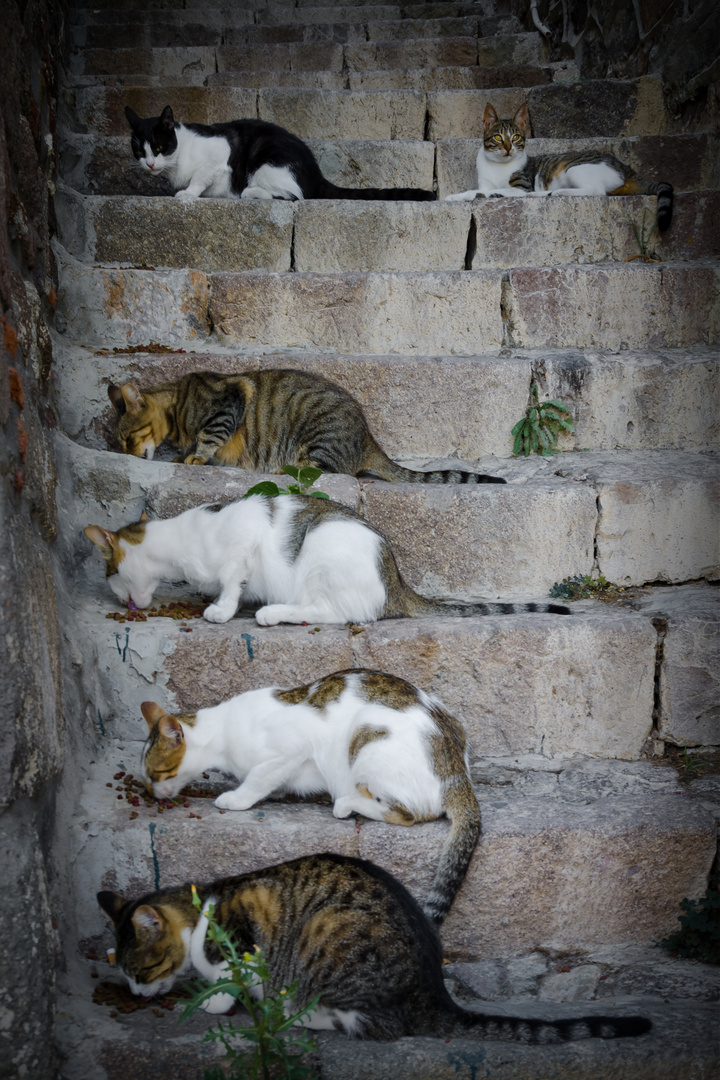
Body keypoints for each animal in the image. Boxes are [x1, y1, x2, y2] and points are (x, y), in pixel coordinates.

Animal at [83, 492, 569, 622]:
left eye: (110, 573)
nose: (119, 600)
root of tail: (397, 581)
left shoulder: (244, 541)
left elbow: (233, 580)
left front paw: (221, 609)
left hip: (321, 552)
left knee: (333, 613)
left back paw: (272, 613)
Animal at [99, 846, 651, 1041]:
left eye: (142, 971)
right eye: (124, 973)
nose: (136, 995)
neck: (201, 908)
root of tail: (434, 991)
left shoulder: (243, 939)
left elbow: (232, 976)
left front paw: (212, 1001)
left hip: (328, 932)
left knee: (377, 1026)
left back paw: (297, 1013)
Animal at [110, 367, 507, 486]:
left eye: (127, 437)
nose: (127, 455)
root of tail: (368, 438)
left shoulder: (227, 402)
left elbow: (209, 436)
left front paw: (193, 457)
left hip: (318, 435)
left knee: (330, 471)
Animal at [125, 105, 433, 203]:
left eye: (160, 147)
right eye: (139, 150)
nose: (150, 164)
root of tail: (316, 174)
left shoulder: (220, 151)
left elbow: (201, 176)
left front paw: (188, 193)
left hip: (266, 161)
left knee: (293, 196)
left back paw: (249, 192)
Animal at [139, 669, 481, 924]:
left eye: (157, 772)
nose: (152, 793)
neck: (221, 732)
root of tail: (457, 772)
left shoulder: (289, 751)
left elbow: (257, 780)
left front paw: (235, 798)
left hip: (367, 736)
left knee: (406, 814)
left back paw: (346, 803)